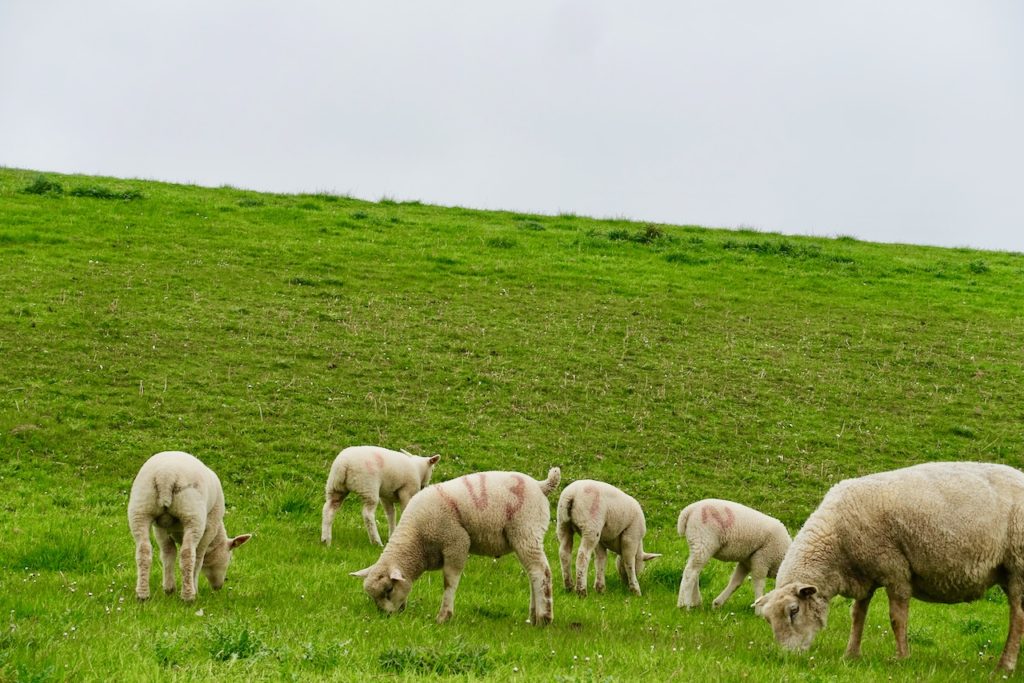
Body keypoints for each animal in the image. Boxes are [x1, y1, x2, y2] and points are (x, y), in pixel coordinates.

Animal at [126, 450, 250, 602]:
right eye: (230, 558)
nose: (218, 587)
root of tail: (165, 475)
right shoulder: (210, 528)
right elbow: (198, 558)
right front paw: (194, 588)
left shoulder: (160, 529)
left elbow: (168, 554)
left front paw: (169, 589)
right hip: (192, 513)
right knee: (187, 554)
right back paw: (188, 596)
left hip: (140, 508)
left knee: (143, 550)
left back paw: (142, 594)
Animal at [350, 471, 561, 626]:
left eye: (388, 590)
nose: (386, 617)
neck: (417, 540)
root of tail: (540, 485)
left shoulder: (456, 542)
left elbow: (449, 581)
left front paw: (444, 617)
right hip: (525, 536)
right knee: (532, 574)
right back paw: (533, 617)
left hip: (526, 531)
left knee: (540, 571)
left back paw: (544, 618)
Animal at [749, 462, 1024, 671]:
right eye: (767, 619)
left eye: (794, 610)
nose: (787, 657)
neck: (836, 543)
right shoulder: (864, 574)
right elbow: (857, 615)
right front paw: (851, 654)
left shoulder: (895, 568)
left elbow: (897, 618)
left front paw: (902, 658)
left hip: (1017, 565)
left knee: (1018, 617)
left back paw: (1005, 666)